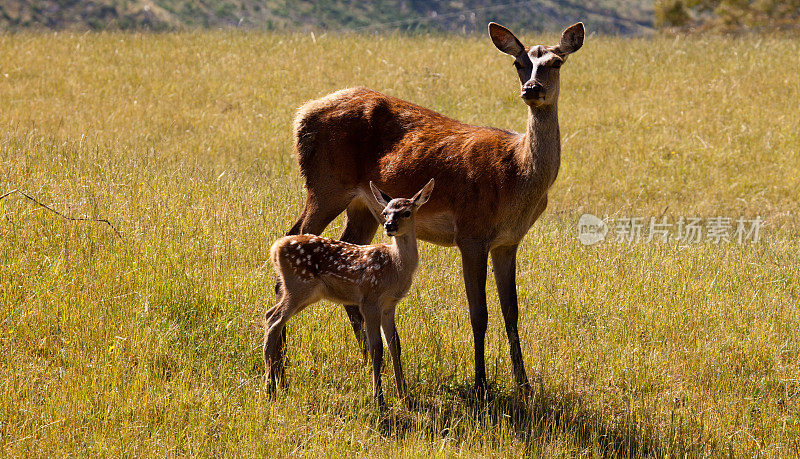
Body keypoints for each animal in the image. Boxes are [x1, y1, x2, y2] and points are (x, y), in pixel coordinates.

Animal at [284, 23, 584, 394]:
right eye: (518, 63)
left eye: (556, 62)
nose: (532, 89)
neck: (518, 176)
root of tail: (300, 115)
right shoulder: (471, 232)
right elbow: (479, 312)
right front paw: (481, 384)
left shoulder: (508, 241)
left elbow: (511, 311)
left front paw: (524, 384)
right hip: (325, 185)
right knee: (296, 233)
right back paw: (282, 360)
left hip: (362, 205)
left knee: (348, 247)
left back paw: (366, 356)